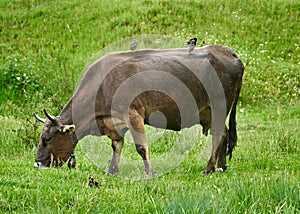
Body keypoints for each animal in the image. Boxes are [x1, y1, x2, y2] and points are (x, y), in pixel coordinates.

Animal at [33, 44, 244, 174]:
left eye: (47, 139)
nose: (36, 164)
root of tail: (228, 52)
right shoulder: (113, 121)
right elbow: (116, 146)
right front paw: (112, 170)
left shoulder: (133, 113)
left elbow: (141, 147)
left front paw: (150, 172)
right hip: (209, 112)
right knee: (225, 134)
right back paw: (221, 167)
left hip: (219, 106)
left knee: (218, 135)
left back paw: (209, 168)